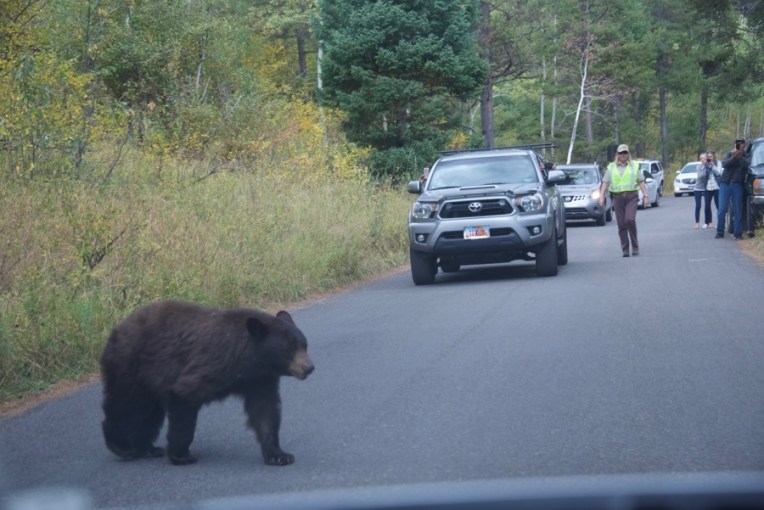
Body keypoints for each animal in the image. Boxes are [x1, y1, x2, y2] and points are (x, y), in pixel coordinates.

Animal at [99, 300, 314, 466]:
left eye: (304, 345)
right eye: (290, 348)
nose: (309, 367)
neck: (248, 359)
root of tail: (116, 330)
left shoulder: (259, 380)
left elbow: (265, 411)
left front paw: (279, 455)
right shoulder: (212, 365)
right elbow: (184, 396)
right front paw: (181, 455)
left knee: (149, 414)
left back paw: (147, 448)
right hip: (131, 367)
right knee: (127, 406)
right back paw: (122, 446)